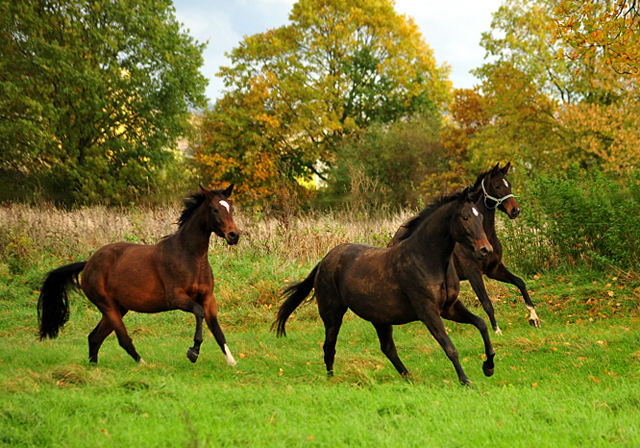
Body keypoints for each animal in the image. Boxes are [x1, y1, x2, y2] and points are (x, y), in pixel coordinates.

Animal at [38, 184, 242, 366]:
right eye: (215, 209)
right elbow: (199, 312)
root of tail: (88, 263)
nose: (234, 235)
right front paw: (193, 352)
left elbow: (217, 330)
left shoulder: (208, 298)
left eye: (231, 208)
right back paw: (143, 364)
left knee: (94, 337)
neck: (191, 256)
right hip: (107, 305)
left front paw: (231, 361)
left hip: (119, 307)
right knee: (122, 339)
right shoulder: (177, 298)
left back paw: (93, 368)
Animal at [276, 187, 496, 386]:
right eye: (465, 217)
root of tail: (324, 261)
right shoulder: (428, 311)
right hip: (333, 314)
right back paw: (332, 380)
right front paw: (466, 381)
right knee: (329, 347)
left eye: (480, 217)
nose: (485, 249)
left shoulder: (449, 307)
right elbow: (449, 347)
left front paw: (489, 367)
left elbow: (481, 324)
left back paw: (408, 378)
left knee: (387, 348)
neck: (427, 258)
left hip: (379, 317)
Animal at [388, 163, 536, 334]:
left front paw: (534, 318)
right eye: (497, 186)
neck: (484, 235)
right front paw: (497, 331)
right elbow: (486, 302)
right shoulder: (473, 273)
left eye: (509, 184)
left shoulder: (494, 269)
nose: (515, 210)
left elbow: (520, 282)